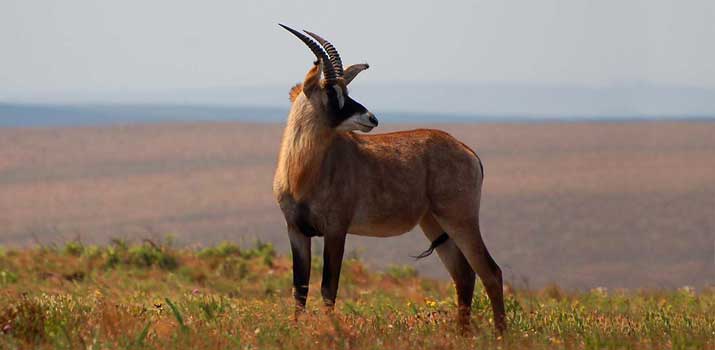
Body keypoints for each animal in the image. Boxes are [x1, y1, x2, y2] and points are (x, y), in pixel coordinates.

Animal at [272, 24, 504, 334]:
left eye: (345, 89)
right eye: (332, 92)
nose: (371, 118)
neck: (303, 172)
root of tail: (467, 150)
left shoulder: (336, 230)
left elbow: (328, 288)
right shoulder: (295, 230)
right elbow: (300, 288)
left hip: (460, 219)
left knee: (490, 271)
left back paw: (501, 335)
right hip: (434, 223)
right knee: (464, 275)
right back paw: (462, 335)